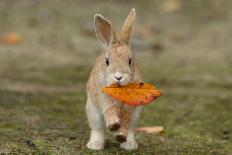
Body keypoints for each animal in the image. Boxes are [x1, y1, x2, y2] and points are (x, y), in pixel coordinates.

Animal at [86, 8, 142, 150]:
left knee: (131, 130)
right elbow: (109, 110)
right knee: (98, 129)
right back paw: (95, 145)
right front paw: (113, 124)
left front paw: (120, 135)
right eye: (107, 61)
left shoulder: (130, 107)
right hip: (93, 112)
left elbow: (126, 119)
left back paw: (129, 145)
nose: (118, 76)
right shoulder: (105, 99)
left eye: (130, 61)